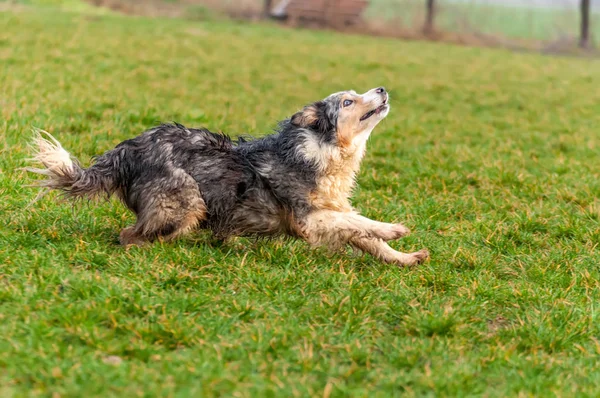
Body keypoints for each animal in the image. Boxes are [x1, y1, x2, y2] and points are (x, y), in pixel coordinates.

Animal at [27, 88, 426, 266]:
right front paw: (395, 228)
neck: (323, 148)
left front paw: (406, 257)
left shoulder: (330, 209)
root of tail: (127, 149)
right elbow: (361, 223)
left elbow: (365, 236)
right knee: (130, 236)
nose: (381, 89)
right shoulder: (308, 219)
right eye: (347, 102)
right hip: (187, 202)